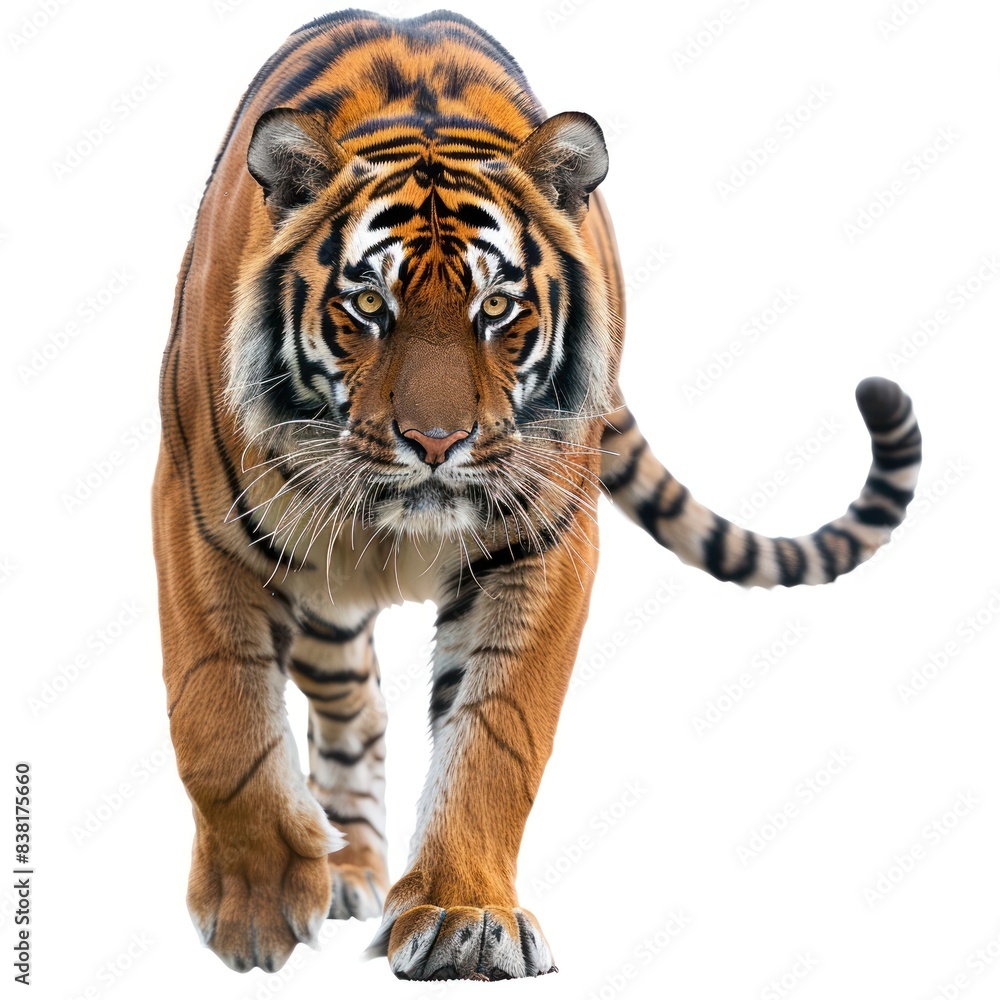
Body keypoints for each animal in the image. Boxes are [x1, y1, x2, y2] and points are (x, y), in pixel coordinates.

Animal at [152, 8, 922, 981]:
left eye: (495, 309)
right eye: (367, 305)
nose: (435, 443)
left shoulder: (544, 541)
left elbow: (497, 733)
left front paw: (463, 915)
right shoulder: (196, 521)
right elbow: (219, 718)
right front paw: (252, 908)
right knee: (347, 701)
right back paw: (341, 870)